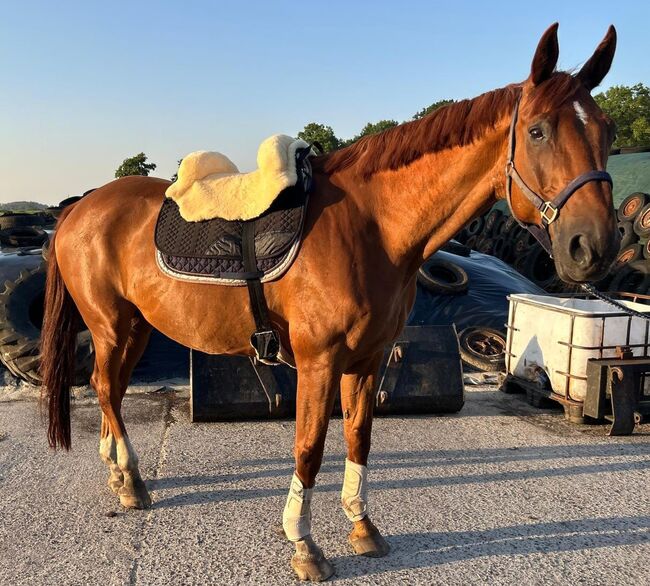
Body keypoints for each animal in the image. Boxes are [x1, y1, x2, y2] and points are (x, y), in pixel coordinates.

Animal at [40, 22, 616, 580]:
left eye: (607, 131)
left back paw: (120, 475)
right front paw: (304, 546)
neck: (370, 226)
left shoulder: (367, 359)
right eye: (537, 130)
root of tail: (77, 209)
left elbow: (359, 438)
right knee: (105, 389)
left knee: (111, 391)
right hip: (111, 326)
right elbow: (310, 449)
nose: (592, 247)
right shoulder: (319, 361)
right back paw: (133, 482)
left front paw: (363, 528)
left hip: (136, 327)